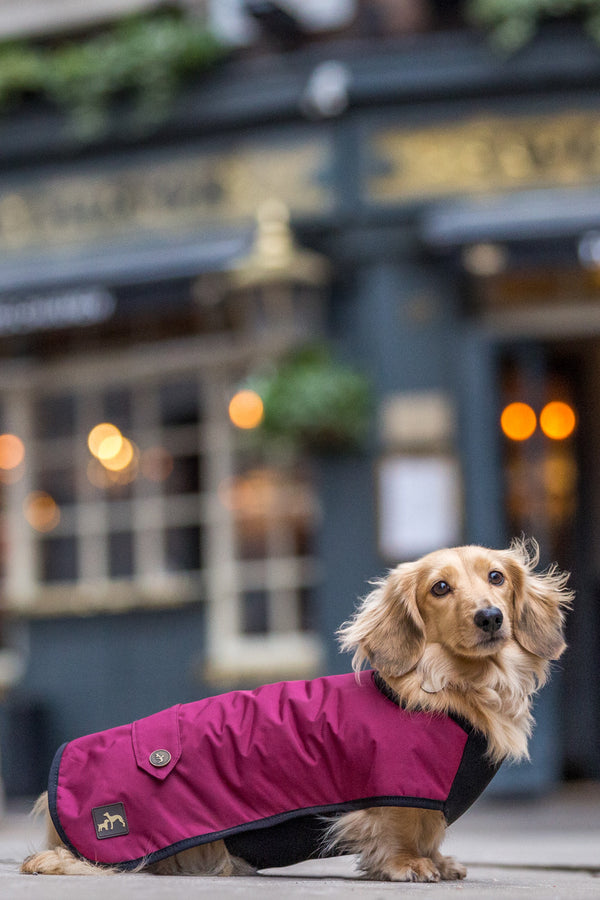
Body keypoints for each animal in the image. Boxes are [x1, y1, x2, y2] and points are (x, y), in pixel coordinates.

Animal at [21, 536, 568, 884]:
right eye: (439, 587)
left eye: (496, 578)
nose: (490, 617)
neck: (443, 690)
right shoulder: (397, 789)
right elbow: (402, 830)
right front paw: (409, 865)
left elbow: (431, 833)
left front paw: (440, 860)